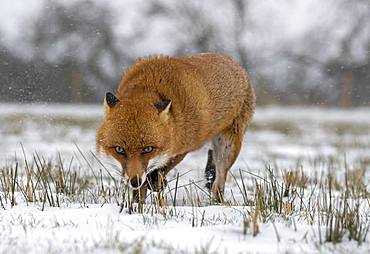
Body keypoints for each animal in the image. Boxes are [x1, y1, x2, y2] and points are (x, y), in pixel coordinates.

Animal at [97, 53, 256, 202]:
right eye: (119, 150)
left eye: (148, 149)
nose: (134, 181)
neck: (148, 86)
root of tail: (232, 61)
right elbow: (140, 192)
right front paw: (136, 207)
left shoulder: (184, 143)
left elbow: (163, 167)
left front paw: (155, 182)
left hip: (228, 148)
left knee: (219, 182)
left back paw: (217, 202)